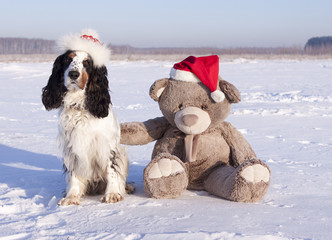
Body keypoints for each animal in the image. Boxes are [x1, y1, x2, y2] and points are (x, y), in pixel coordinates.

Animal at [40, 30, 131, 206]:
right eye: (68, 59)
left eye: (87, 62)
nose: (73, 74)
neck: (79, 106)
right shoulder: (72, 145)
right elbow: (74, 173)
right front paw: (72, 196)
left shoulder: (106, 144)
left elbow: (111, 171)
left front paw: (112, 194)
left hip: (122, 153)